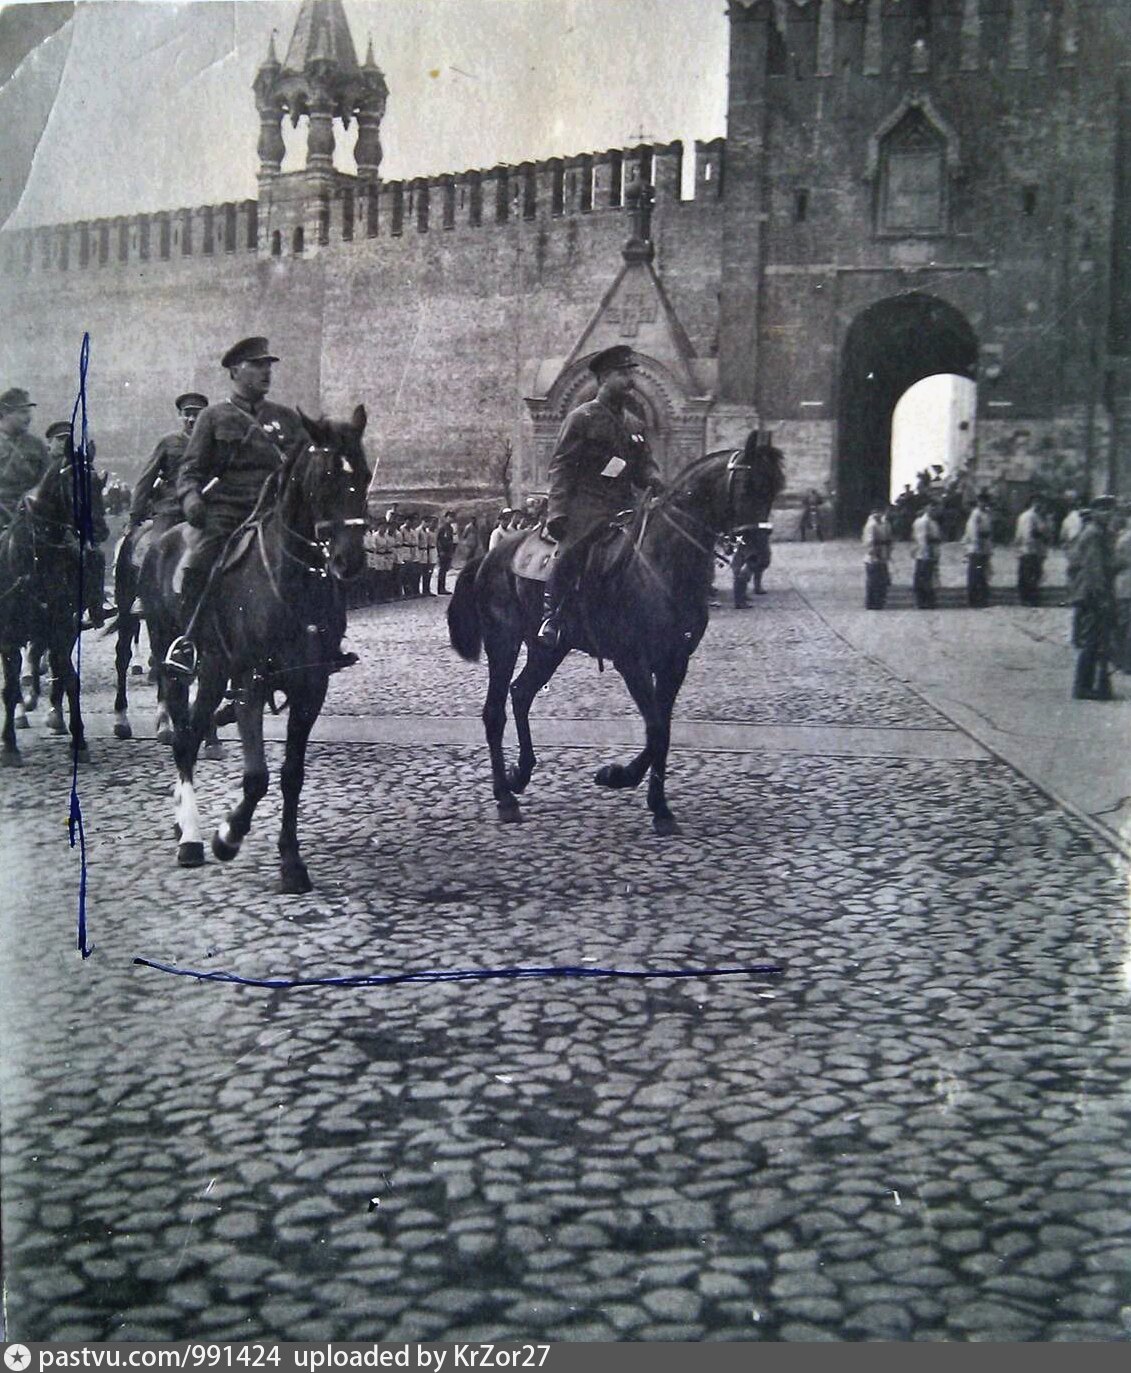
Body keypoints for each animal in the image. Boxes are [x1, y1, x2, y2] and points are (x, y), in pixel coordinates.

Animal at [0, 455, 91, 768]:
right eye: (73, 484)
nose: (97, 529)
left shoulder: (61, 630)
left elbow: (70, 679)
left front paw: (79, 740)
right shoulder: (10, 637)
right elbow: (9, 689)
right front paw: (10, 746)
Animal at [135, 400, 367, 889]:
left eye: (366, 473)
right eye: (325, 477)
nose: (349, 560)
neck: (289, 581)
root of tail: (162, 539)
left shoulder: (310, 688)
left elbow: (291, 775)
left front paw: (291, 862)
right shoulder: (250, 683)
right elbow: (257, 777)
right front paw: (227, 837)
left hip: (212, 670)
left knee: (194, 731)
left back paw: (184, 823)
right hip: (176, 661)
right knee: (182, 737)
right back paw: (191, 838)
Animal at [447, 433, 779, 829]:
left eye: (775, 489)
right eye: (746, 486)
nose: (757, 557)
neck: (662, 561)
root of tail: (488, 557)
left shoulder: (675, 662)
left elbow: (662, 730)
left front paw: (646, 796)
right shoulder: (632, 661)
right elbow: (656, 728)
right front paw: (630, 784)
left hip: (549, 648)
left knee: (521, 693)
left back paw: (520, 773)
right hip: (504, 642)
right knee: (494, 711)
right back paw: (505, 796)